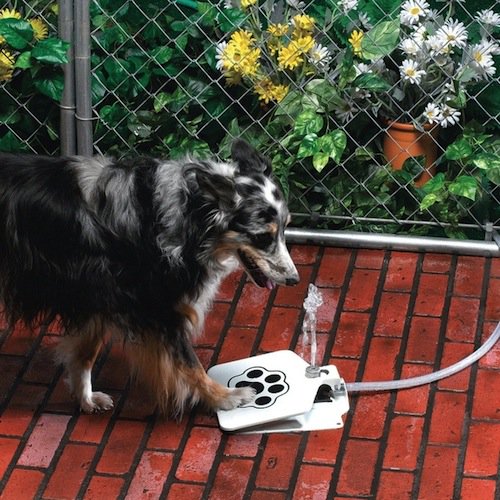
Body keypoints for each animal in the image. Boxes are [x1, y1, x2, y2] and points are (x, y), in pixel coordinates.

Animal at [0, 140, 296, 414]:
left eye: (285, 228)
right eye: (262, 237)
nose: (294, 280)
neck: (187, 211)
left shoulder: (98, 295)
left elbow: (85, 353)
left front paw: (86, 399)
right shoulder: (156, 308)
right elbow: (190, 363)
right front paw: (223, 397)